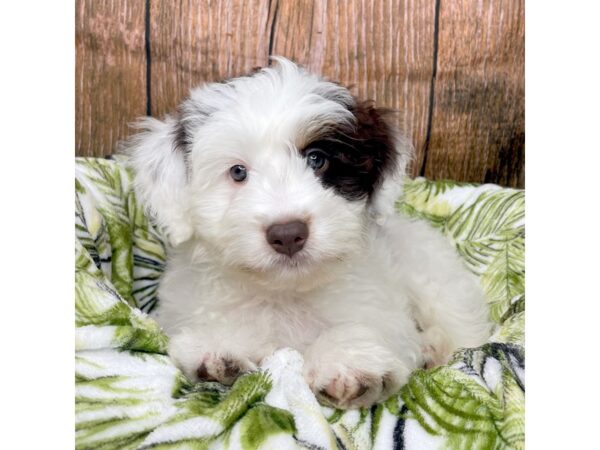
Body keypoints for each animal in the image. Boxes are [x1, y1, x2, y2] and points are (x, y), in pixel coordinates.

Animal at [125, 56, 492, 408]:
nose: (288, 233)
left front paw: (348, 361)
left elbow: (363, 328)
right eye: (238, 172)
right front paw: (221, 343)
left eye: (317, 160)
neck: (286, 294)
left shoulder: (381, 308)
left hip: (438, 282)